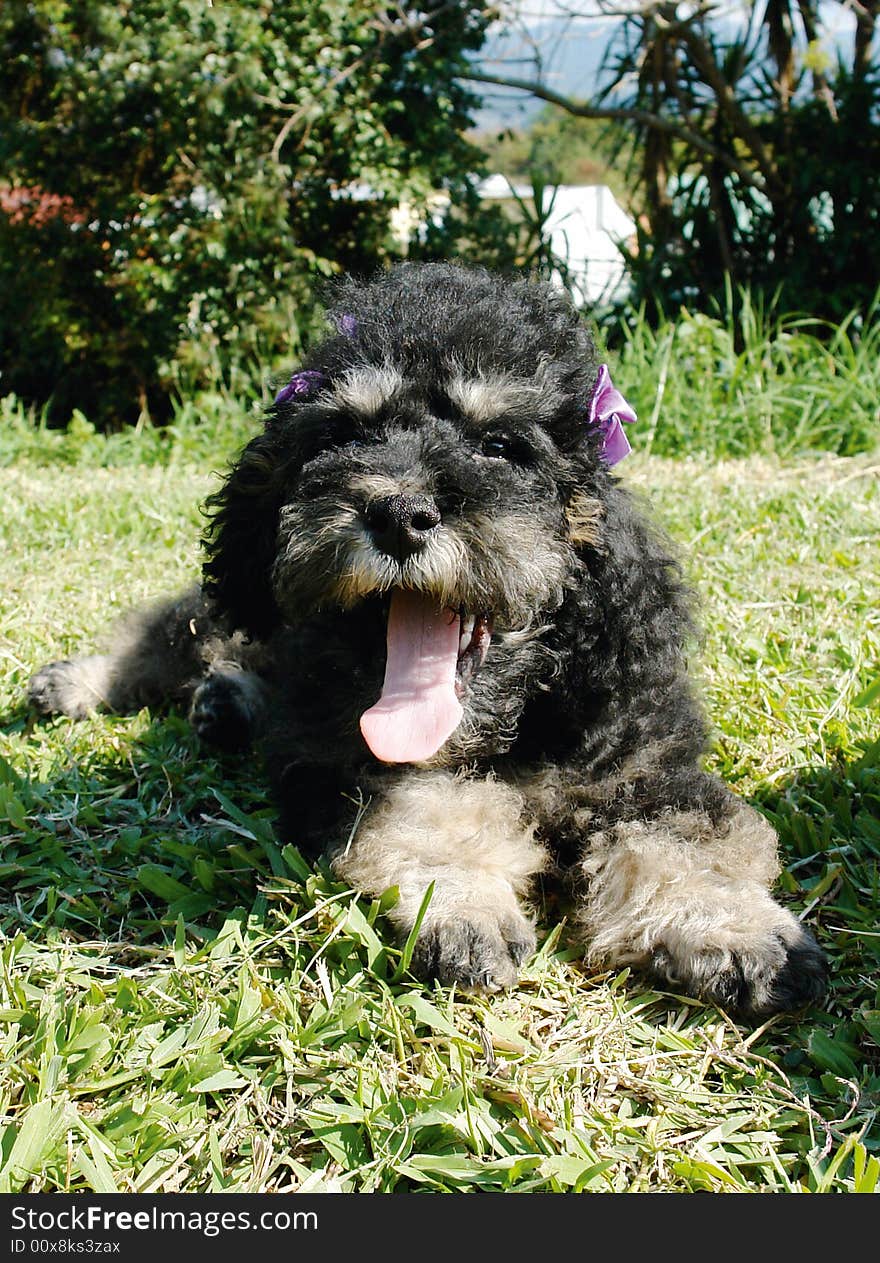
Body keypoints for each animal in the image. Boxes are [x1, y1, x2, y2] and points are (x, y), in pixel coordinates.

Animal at [27, 263, 823, 1015]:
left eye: (500, 445)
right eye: (343, 435)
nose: (398, 514)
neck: (511, 724)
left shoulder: (643, 764)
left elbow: (687, 837)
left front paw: (732, 929)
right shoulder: (351, 758)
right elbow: (428, 805)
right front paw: (462, 904)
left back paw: (224, 704)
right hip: (220, 616)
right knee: (164, 637)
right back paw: (76, 682)